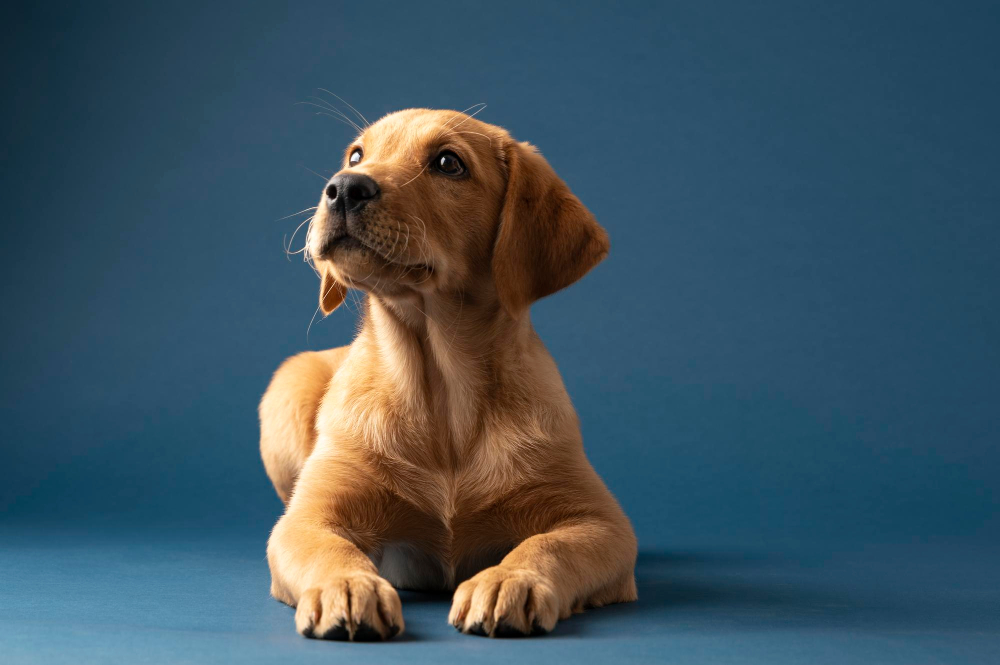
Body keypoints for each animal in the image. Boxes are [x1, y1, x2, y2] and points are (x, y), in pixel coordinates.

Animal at [262, 107, 636, 640]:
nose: (344, 187)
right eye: (356, 155)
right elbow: (329, 548)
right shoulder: (306, 519)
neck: (441, 391)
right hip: (288, 386)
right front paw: (348, 586)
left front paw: (507, 580)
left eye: (448, 163)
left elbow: (547, 545)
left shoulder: (603, 525)